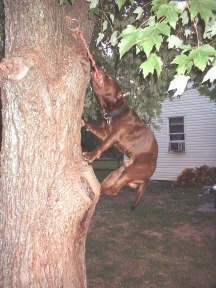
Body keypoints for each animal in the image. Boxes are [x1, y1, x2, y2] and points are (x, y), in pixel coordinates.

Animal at [82, 70, 157, 209]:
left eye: (109, 77)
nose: (99, 68)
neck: (114, 111)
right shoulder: (105, 133)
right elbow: (94, 129)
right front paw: (85, 124)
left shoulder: (113, 136)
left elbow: (102, 145)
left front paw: (90, 155)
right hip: (117, 173)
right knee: (113, 186)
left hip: (130, 172)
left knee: (114, 190)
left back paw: (101, 190)